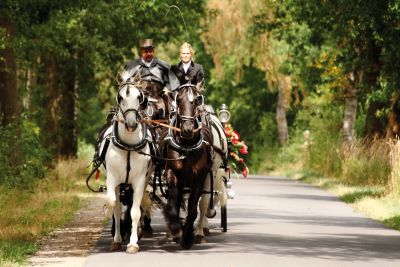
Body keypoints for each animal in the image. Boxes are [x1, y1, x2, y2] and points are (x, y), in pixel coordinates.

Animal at [101, 72, 154, 254]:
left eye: (139, 97)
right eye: (120, 97)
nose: (131, 124)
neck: (129, 145)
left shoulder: (139, 181)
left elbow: (135, 212)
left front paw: (133, 243)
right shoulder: (112, 179)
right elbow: (113, 205)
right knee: (117, 206)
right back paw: (117, 238)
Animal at [161, 82, 214, 250]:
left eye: (197, 100)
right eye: (179, 100)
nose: (188, 129)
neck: (186, 146)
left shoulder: (199, 178)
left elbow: (192, 208)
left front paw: (188, 237)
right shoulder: (171, 172)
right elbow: (173, 200)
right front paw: (176, 228)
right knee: (177, 199)